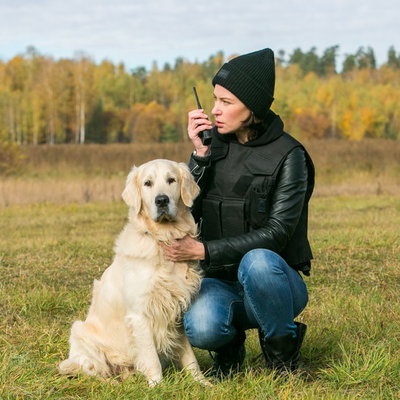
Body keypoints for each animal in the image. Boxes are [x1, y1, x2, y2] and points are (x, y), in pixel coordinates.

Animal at [59, 160, 209, 388]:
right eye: (147, 183)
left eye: (171, 180)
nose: (161, 200)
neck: (162, 238)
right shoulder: (140, 315)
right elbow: (151, 358)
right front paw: (157, 386)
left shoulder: (177, 311)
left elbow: (189, 355)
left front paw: (202, 383)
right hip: (80, 333)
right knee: (96, 372)